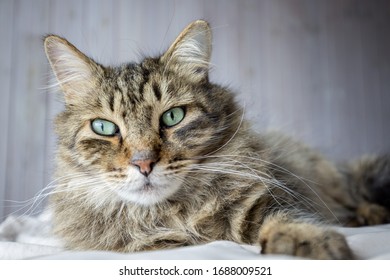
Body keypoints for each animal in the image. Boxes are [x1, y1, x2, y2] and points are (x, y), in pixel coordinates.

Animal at [43, 20, 390, 260]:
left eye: (173, 117)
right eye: (104, 127)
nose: (144, 163)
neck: (174, 214)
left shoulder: (271, 200)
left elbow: (286, 219)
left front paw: (308, 243)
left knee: (355, 197)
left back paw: (370, 214)